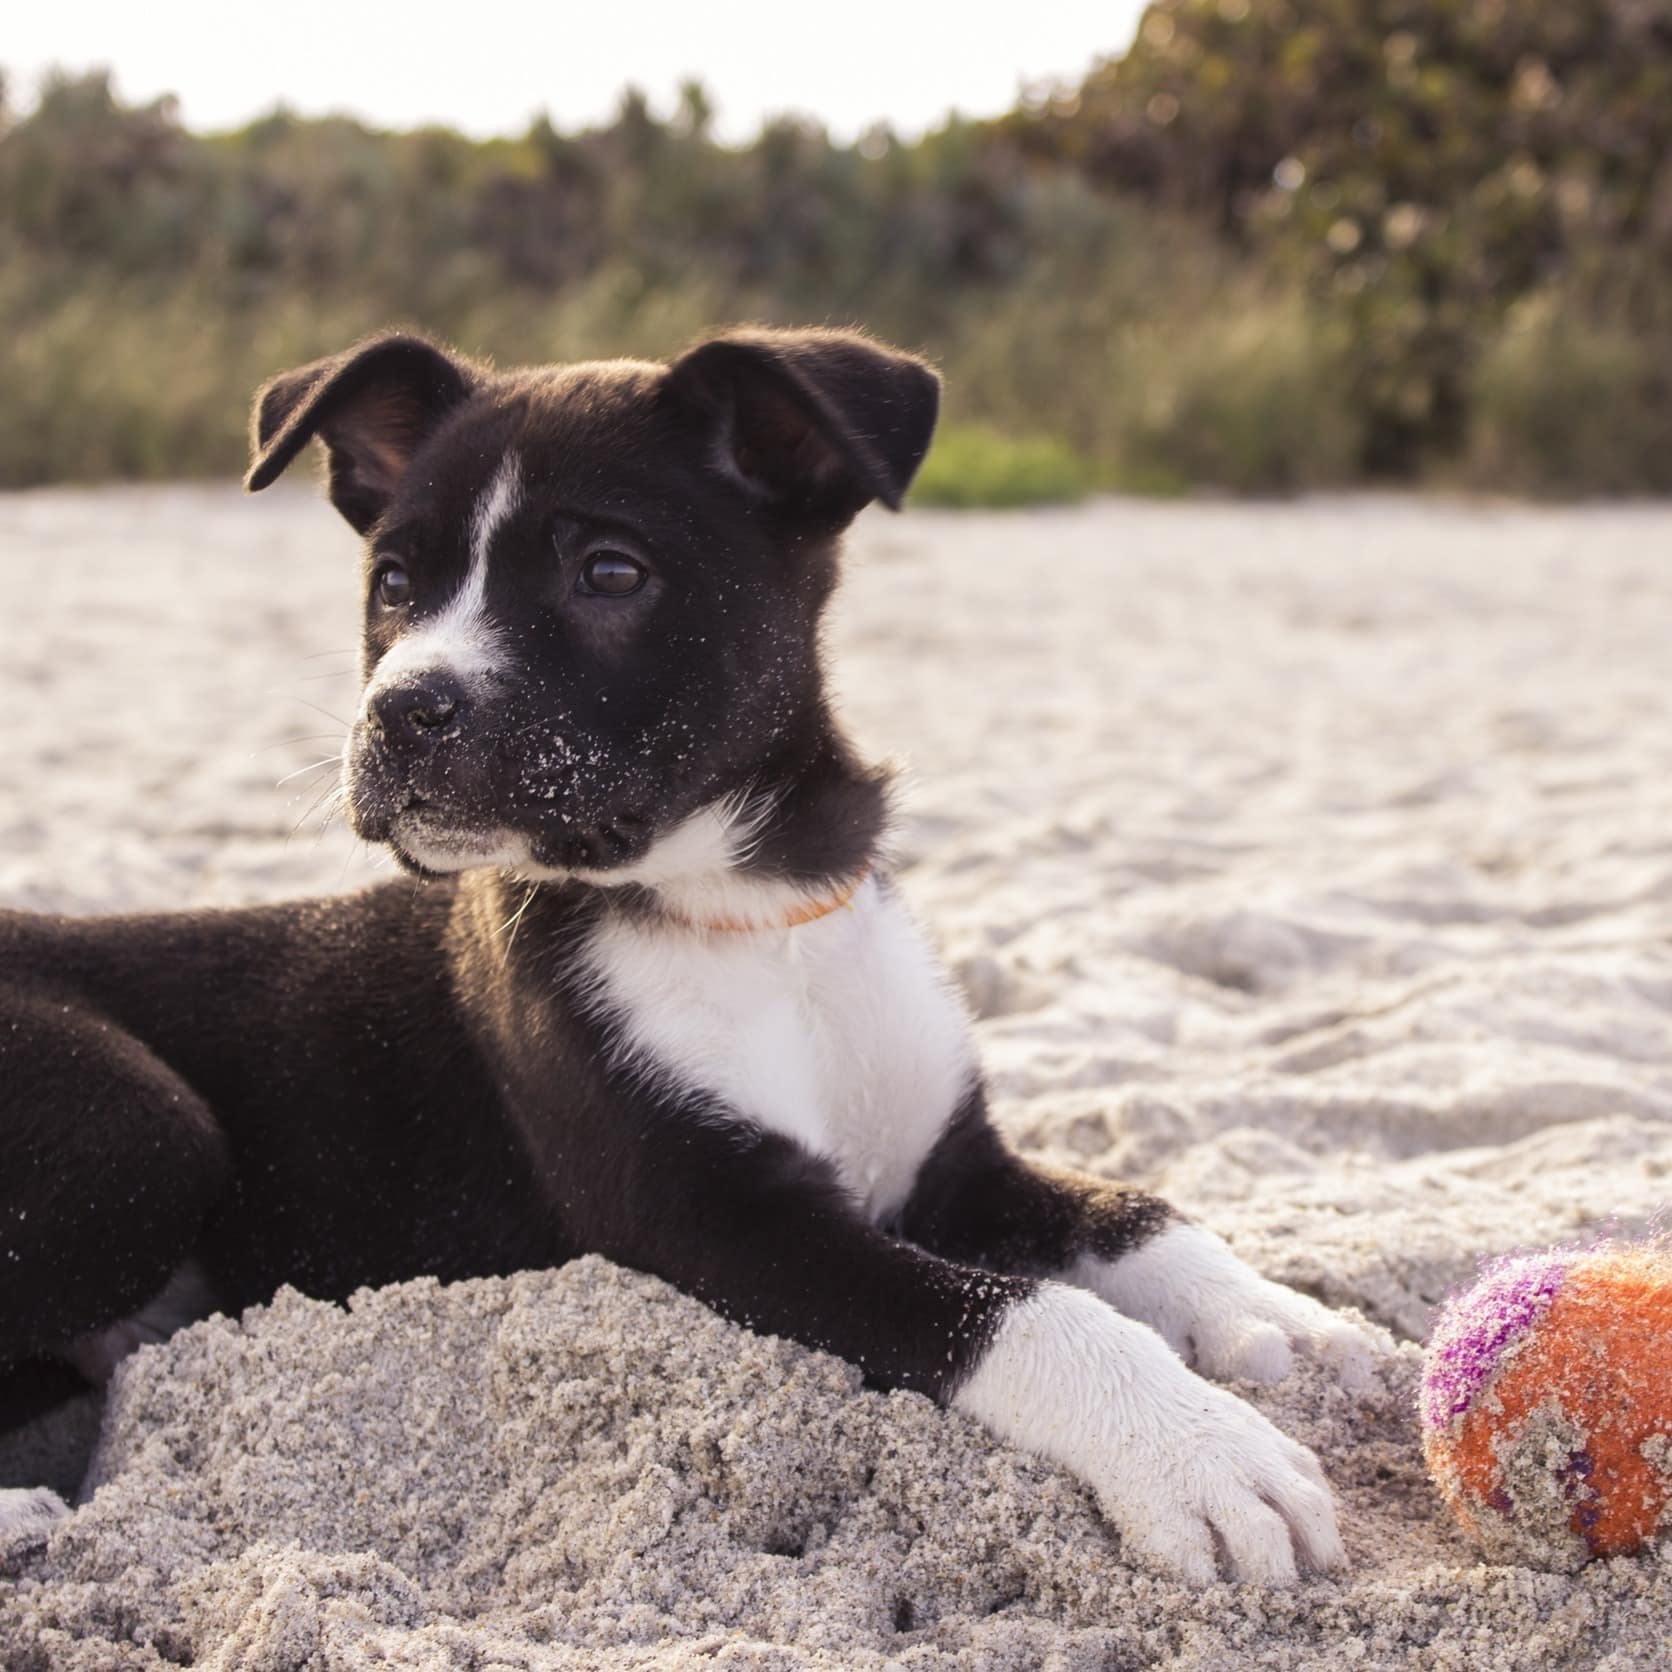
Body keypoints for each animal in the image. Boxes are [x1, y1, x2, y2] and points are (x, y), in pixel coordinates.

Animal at [0, 326, 1384, 1578]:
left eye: (608, 572)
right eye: (393, 583)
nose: (400, 710)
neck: (743, 908)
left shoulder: (949, 1160)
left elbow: (1131, 1211)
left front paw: (1277, 1313)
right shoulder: (719, 1216)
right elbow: (1019, 1311)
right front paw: (1200, 1453)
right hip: (143, 1126)